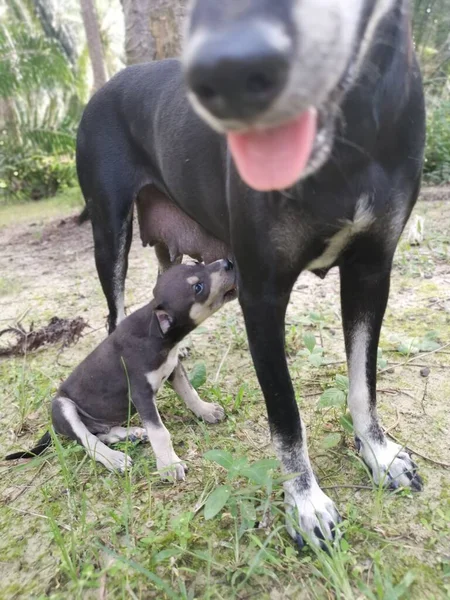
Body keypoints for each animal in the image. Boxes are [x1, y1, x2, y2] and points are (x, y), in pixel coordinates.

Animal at [6, 260, 236, 480]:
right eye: (198, 287)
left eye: (197, 263)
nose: (228, 263)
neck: (157, 335)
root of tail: (53, 426)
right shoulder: (141, 394)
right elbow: (160, 432)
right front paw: (169, 466)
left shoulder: (174, 368)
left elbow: (190, 393)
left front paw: (206, 410)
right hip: (63, 407)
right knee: (88, 441)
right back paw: (114, 458)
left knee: (100, 433)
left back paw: (131, 434)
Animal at [76, 0, 426, 548]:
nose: (228, 72)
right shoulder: (261, 294)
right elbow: (285, 412)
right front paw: (306, 502)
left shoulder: (372, 270)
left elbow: (363, 380)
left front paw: (379, 453)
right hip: (109, 229)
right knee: (115, 320)